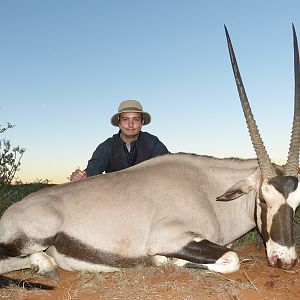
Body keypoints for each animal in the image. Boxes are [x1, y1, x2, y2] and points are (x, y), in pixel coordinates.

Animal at [0, 25, 300, 282]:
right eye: (262, 200)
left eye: (296, 205)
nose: (285, 260)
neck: (207, 191)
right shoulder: (168, 237)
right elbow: (231, 258)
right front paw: (163, 261)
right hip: (35, 236)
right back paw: (45, 266)